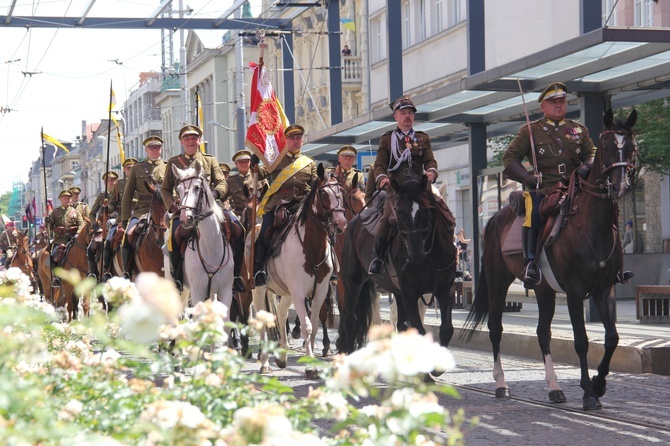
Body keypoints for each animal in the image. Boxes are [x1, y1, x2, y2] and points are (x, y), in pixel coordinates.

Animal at [251, 164, 346, 376]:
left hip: (285, 292)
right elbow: (307, 326)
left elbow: (315, 325)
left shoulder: (319, 290)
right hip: (258, 289)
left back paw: (282, 356)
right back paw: (265, 363)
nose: (341, 223)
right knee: (262, 320)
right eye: (324, 193)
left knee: (282, 314)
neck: (312, 246)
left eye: (342, 192)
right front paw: (310, 366)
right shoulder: (299, 291)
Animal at [338, 174, 460, 356]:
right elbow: (416, 328)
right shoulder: (410, 292)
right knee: (353, 318)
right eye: (400, 212)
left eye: (429, 209)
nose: (415, 255)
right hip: (353, 283)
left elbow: (445, 329)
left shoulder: (443, 290)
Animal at [464, 109, 636, 412]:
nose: (620, 186)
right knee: (496, 329)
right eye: (605, 146)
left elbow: (612, 338)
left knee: (543, 332)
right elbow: (581, 341)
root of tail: (495, 217)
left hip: (544, 291)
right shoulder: (575, 291)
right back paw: (501, 385)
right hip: (498, 284)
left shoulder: (605, 289)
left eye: (630, 145)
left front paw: (599, 383)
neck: (592, 224)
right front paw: (589, 393)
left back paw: (555, 388)